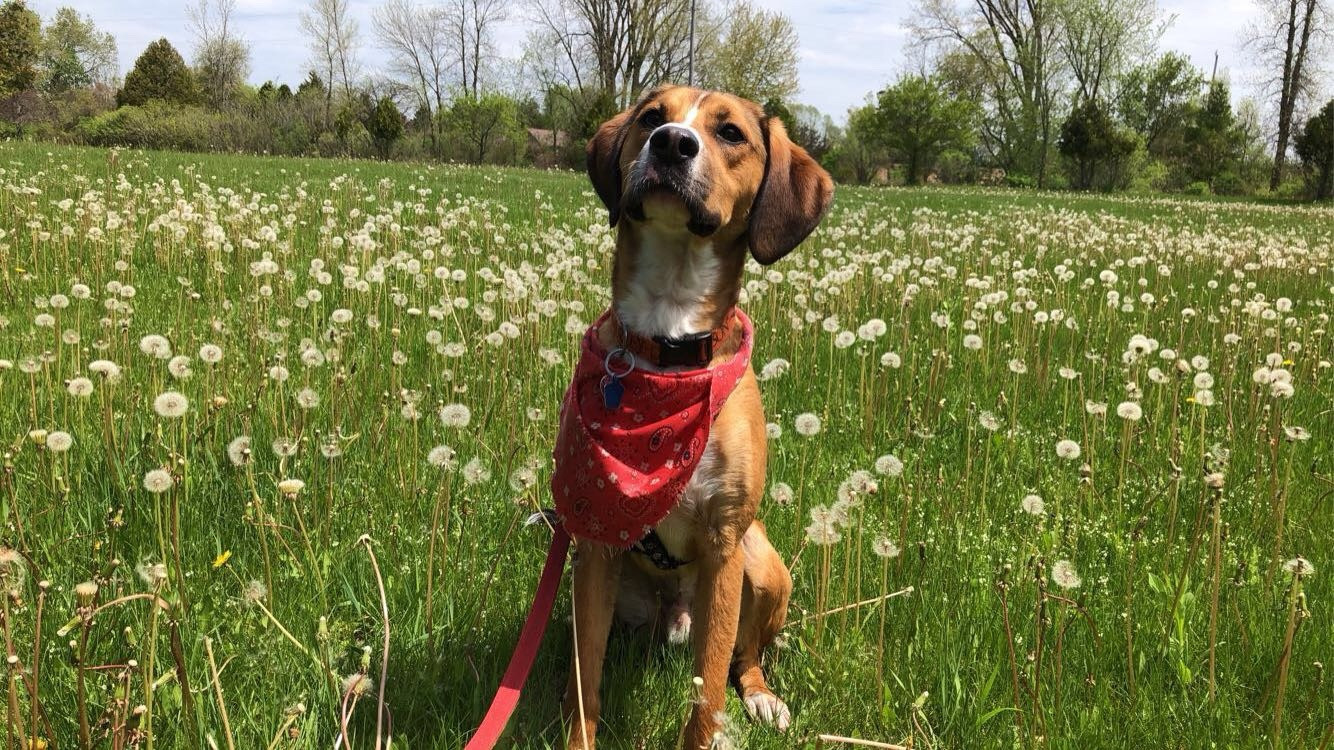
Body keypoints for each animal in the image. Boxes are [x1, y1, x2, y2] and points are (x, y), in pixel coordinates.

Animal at [554, 84, 832, 741]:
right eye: (653, 117)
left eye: (730, 133)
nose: (672, 144)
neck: (670, 332)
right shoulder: (594, 549)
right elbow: (586, 681)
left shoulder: (724, 546)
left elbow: (707, 693)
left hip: (763, 567)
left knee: (743, 656)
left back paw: (761, 699)